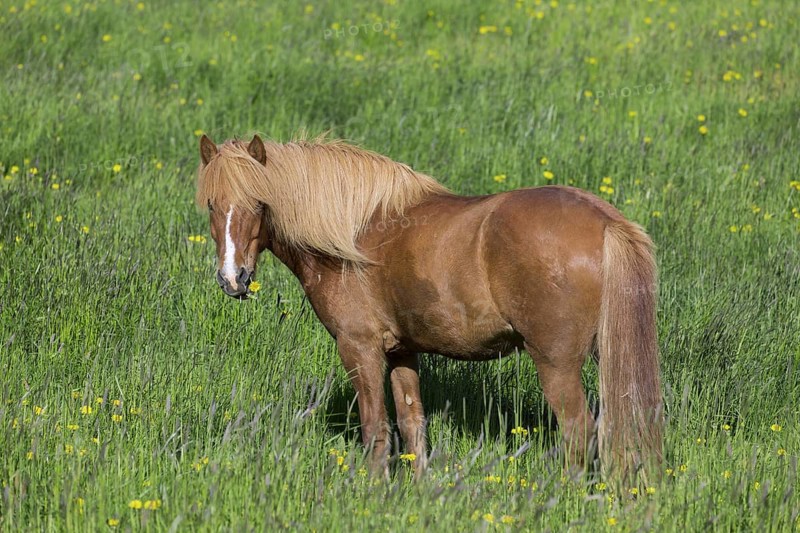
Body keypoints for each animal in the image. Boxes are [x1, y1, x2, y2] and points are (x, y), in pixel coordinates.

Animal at [195, 133, 663, 483]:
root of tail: (606, 222)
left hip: (556, 363)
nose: (233, 278)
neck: (353, 233)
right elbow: (411, 423)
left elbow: (375, 427)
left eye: (259, 203)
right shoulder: (403, 352)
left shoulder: (359, 348)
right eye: (212, 205)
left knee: (579, 430)